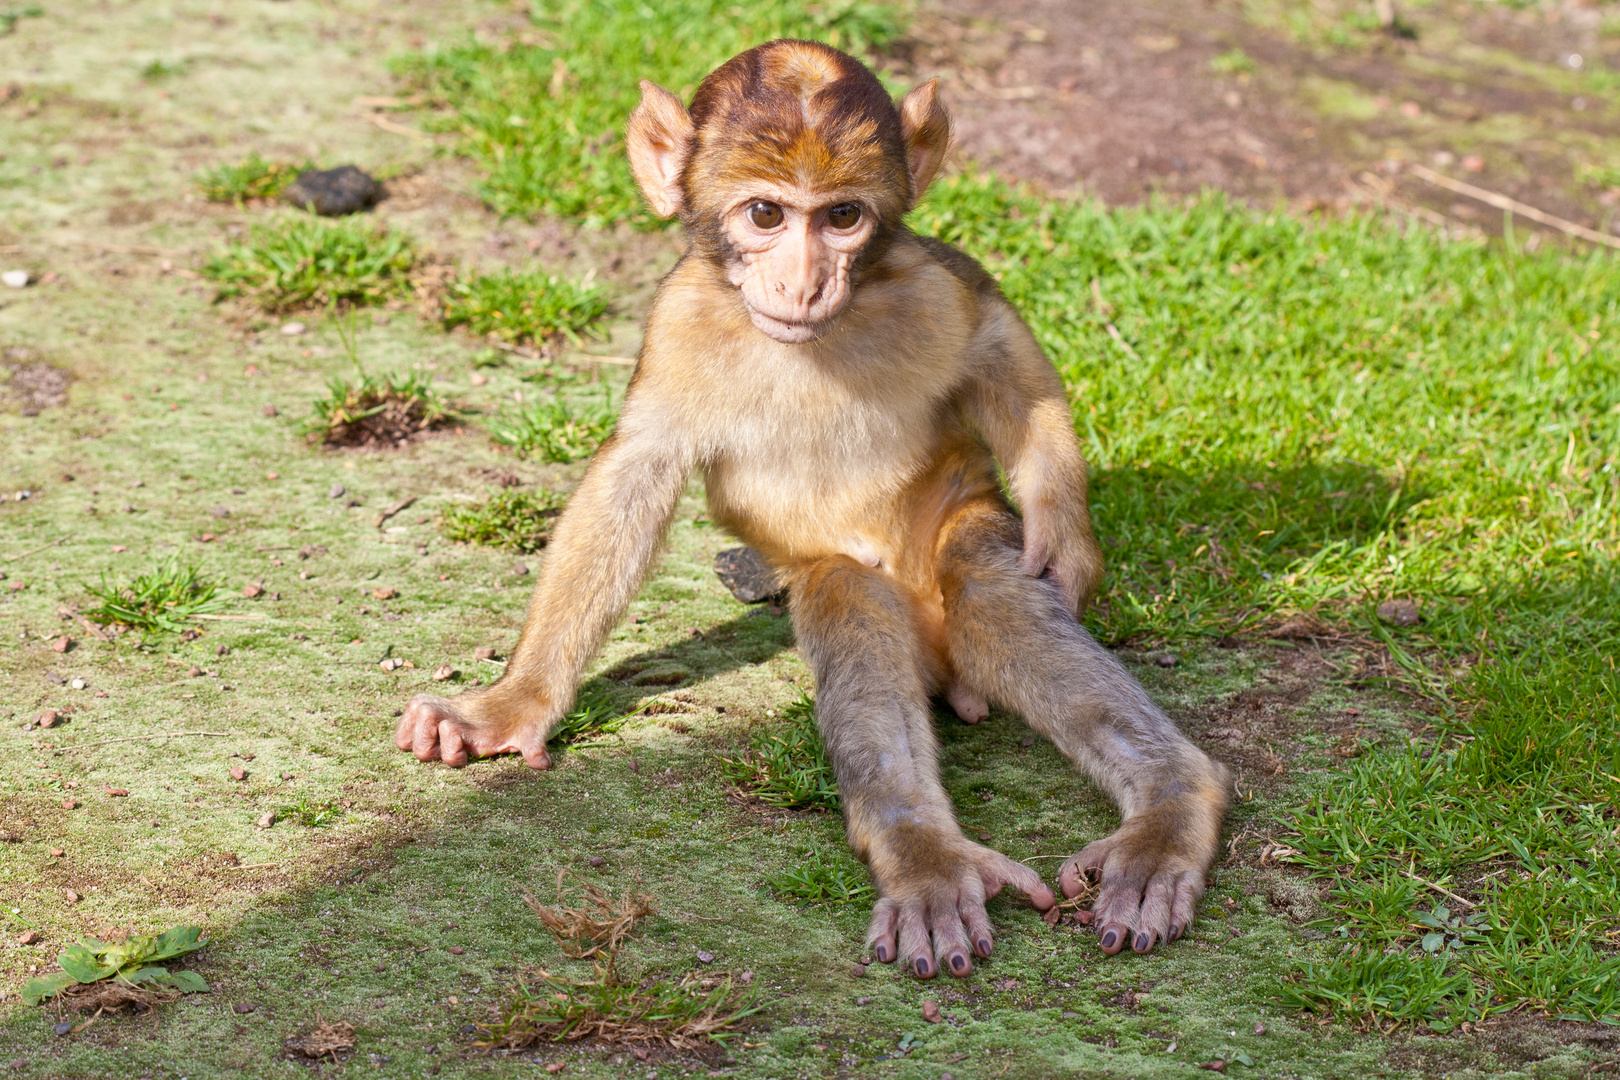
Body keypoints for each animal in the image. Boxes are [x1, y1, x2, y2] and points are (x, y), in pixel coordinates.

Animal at [395, 40, 1224, 971]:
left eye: (842, 218)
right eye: (765, 214)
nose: (801, 281)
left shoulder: (928, 278)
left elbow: (1002, 345)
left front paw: (1067, 532)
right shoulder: (679, 323)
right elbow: (632, 479)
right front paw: (515, 701)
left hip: (958, 517)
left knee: (990, 588)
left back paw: (1163, 808)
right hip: (839, 575)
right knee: (852, 604)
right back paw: (927, 860)